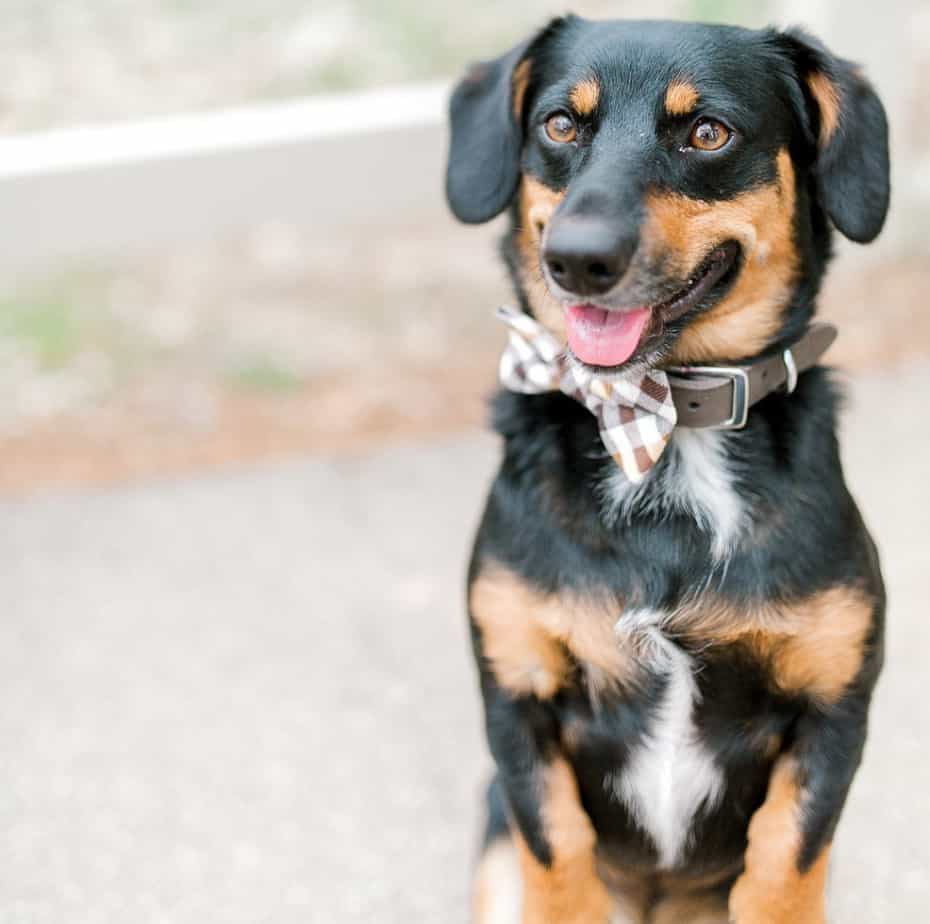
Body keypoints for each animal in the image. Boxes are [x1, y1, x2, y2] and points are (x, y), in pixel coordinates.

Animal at [446, 14, 888, 924]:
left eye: (708, 132)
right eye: (560, 124)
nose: (578, 259)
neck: (661, 423)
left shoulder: (832, 709)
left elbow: (785, 870)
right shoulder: (518, 698)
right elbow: (560, 863)